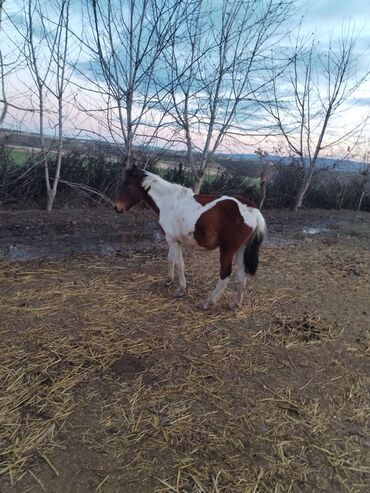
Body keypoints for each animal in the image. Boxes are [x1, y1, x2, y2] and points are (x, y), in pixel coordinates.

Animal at [113, 167, 266, 310]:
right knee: (242, 274)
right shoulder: (173, 240)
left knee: (225, 274)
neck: (168, 201)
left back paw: (207, 302)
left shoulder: (173, 240)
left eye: (127, 185)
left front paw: (180, 290)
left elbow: (179, 264)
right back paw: (235, 303)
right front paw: (168, 280)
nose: (116, 207)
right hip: (241, 249)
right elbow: (171, 259)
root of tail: (253, 210)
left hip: (227, 250)